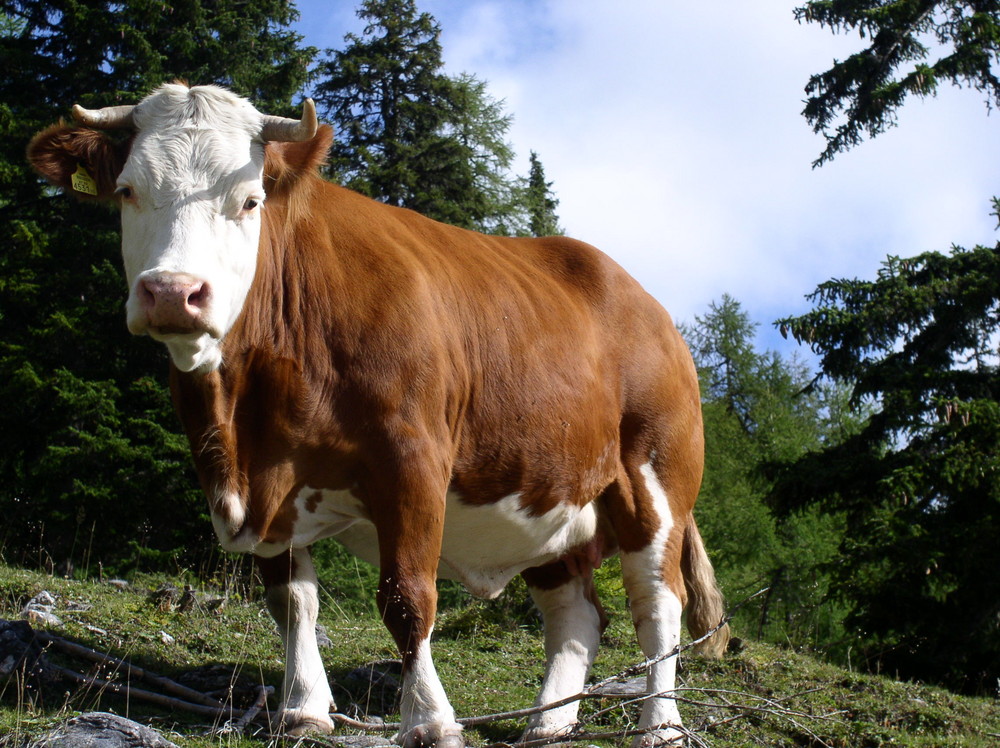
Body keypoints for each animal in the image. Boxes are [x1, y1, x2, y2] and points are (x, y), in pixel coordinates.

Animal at [27, 83, 732, 748]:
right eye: (127, 191)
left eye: (249, 200)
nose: (173, 292)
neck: (244, 424)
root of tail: (648, 304)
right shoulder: (271, 491)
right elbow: (293, 604)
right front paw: (303, 710)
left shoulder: (410, 460)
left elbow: (406, 598)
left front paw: (430, 721)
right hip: (552, 492)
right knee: (576, 614)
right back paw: (548, 725)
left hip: (656, 480)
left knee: (658, 607)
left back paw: (660, 725)